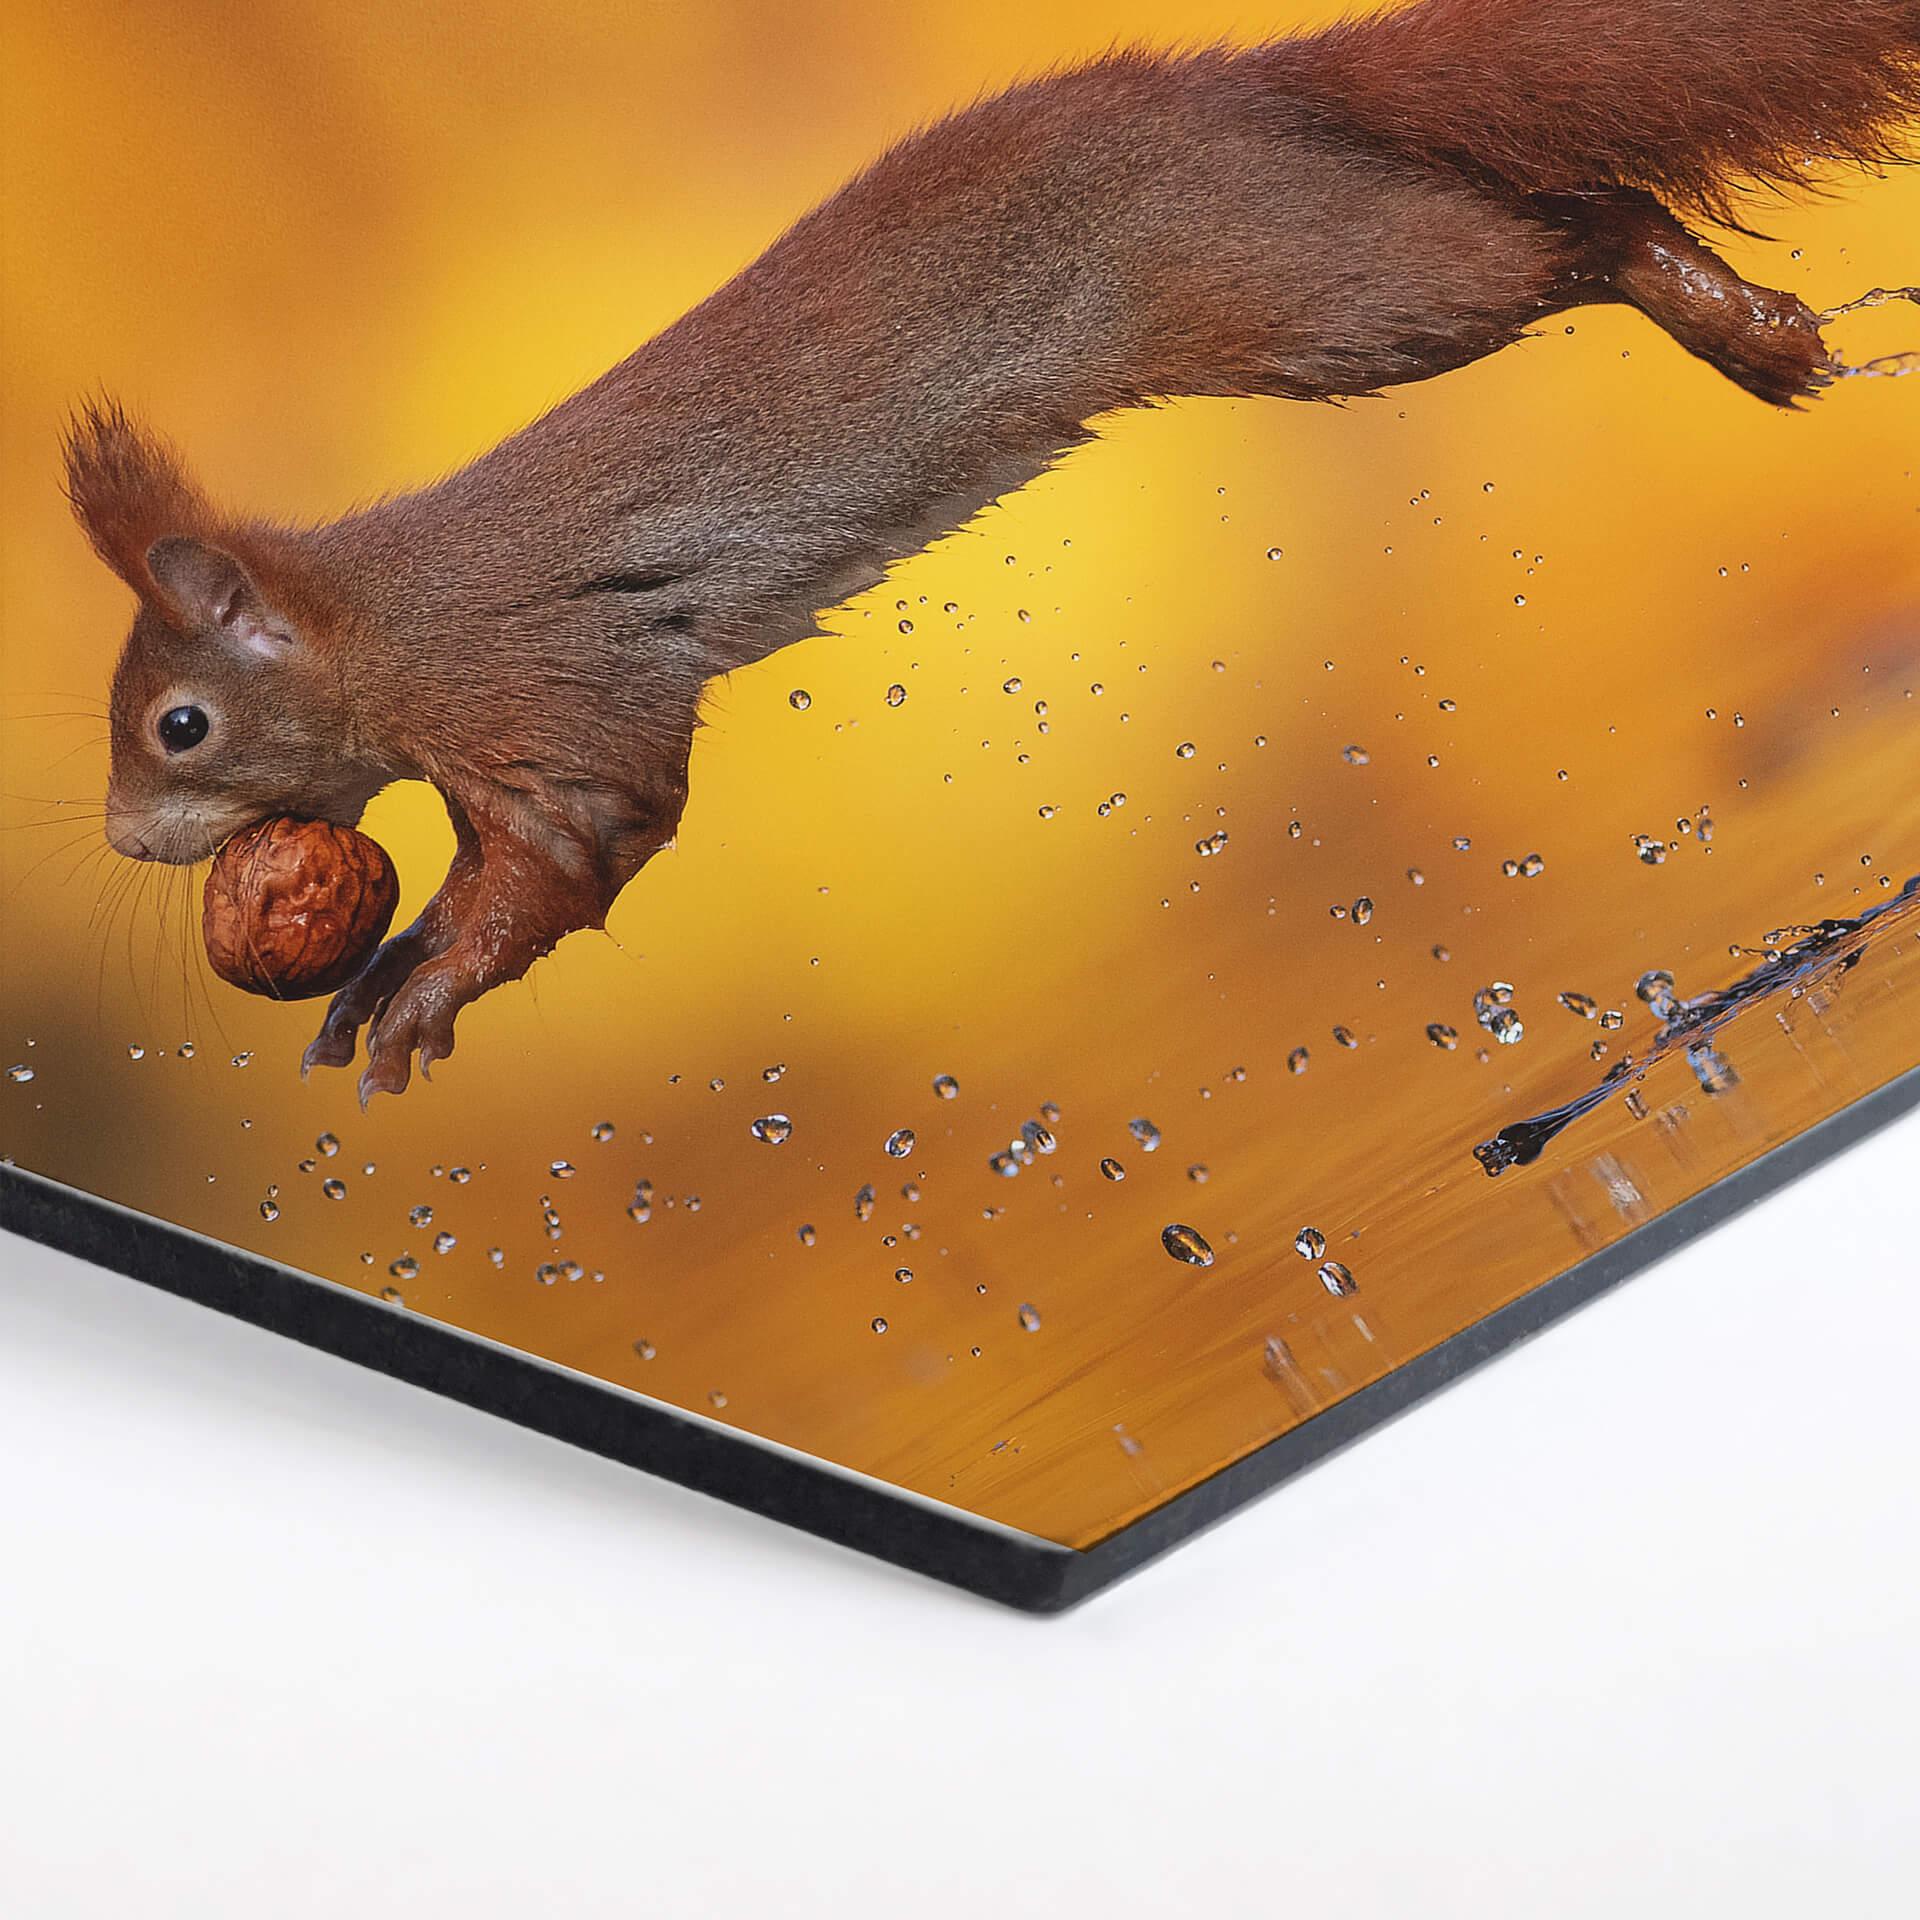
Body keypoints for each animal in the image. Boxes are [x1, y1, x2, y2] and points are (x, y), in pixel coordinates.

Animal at [65, 0, 1920, 1101]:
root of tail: (1239, 94)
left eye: (179, 726)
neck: (383, 620)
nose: (126, 838)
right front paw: (370, 979)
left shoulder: (555, 697)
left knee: (1575, 225)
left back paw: (1732, 322)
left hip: (1331, 292)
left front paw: (424, 995)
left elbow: (574, 861)